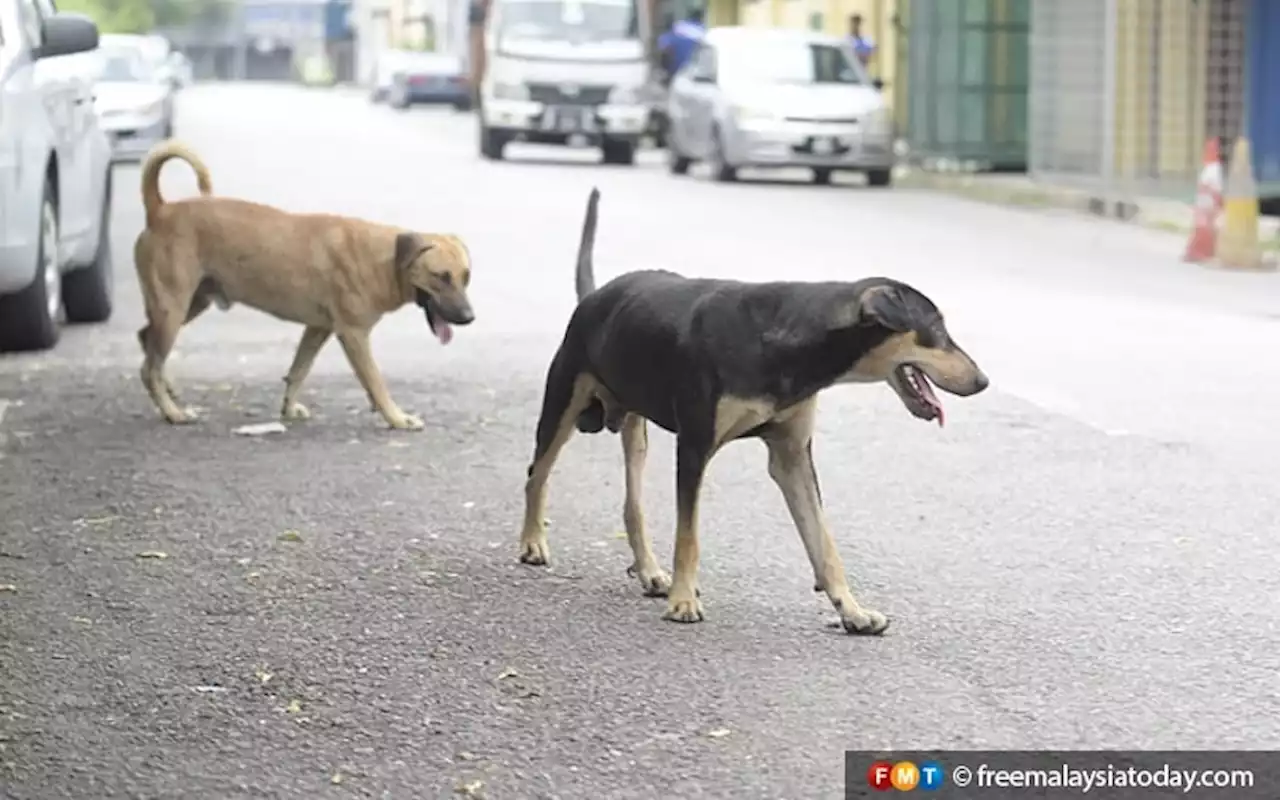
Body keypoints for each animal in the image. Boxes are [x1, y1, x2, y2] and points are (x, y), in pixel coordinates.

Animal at [132, 143, 478, 430]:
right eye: (441, 276)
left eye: (466, 276)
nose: (469, 318)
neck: (384, 258)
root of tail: (160, 210)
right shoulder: (353, 334)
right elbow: (375, 380)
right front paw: (396, 417)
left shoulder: (318, 328)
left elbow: (299, 369)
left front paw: (288, 408)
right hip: (172, 307)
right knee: (149, 367)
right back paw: (172, 411)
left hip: (192, 302)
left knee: (147, 342)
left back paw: (169, 390)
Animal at [517, 190, 988, 632]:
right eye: (937, 328)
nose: (983, 381)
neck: (787, 341)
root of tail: (595, 295)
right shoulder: (694, 447)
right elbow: (689, 536)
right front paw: (684, 602)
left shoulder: (792, 456)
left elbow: (824, 543)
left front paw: (852, 611)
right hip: (563, 401)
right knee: (537, 474)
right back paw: (532, 543)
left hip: (635, 427)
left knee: (633, 505)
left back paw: (650, 572)